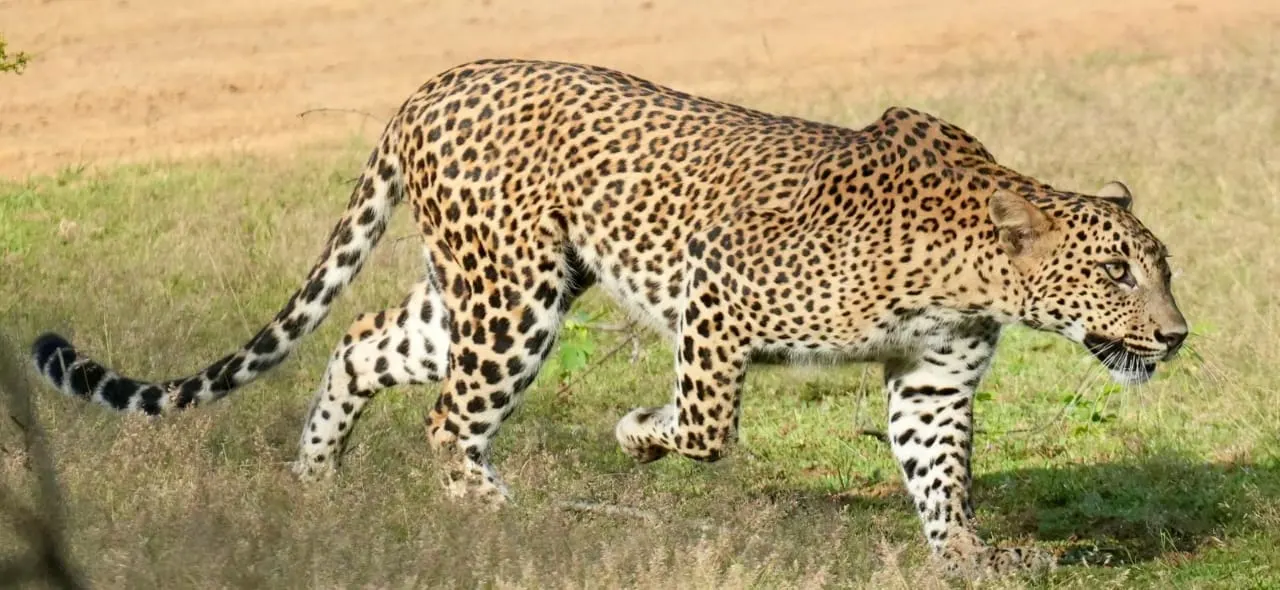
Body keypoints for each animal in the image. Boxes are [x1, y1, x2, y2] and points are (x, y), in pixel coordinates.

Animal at [30, 59, 1187, 578]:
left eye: (1161, 271)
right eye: (1116, 271)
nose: (1175, 335)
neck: (967, 264)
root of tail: (429, 86)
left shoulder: (932, 379)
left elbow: (939, 473)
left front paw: (967, 559)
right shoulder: (718, 288)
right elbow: (708, 423)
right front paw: (634, 434)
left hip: (478, 291)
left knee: (361, 345)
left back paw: (315, 487)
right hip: (515, 298)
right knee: (449, 418)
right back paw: (495, 514)